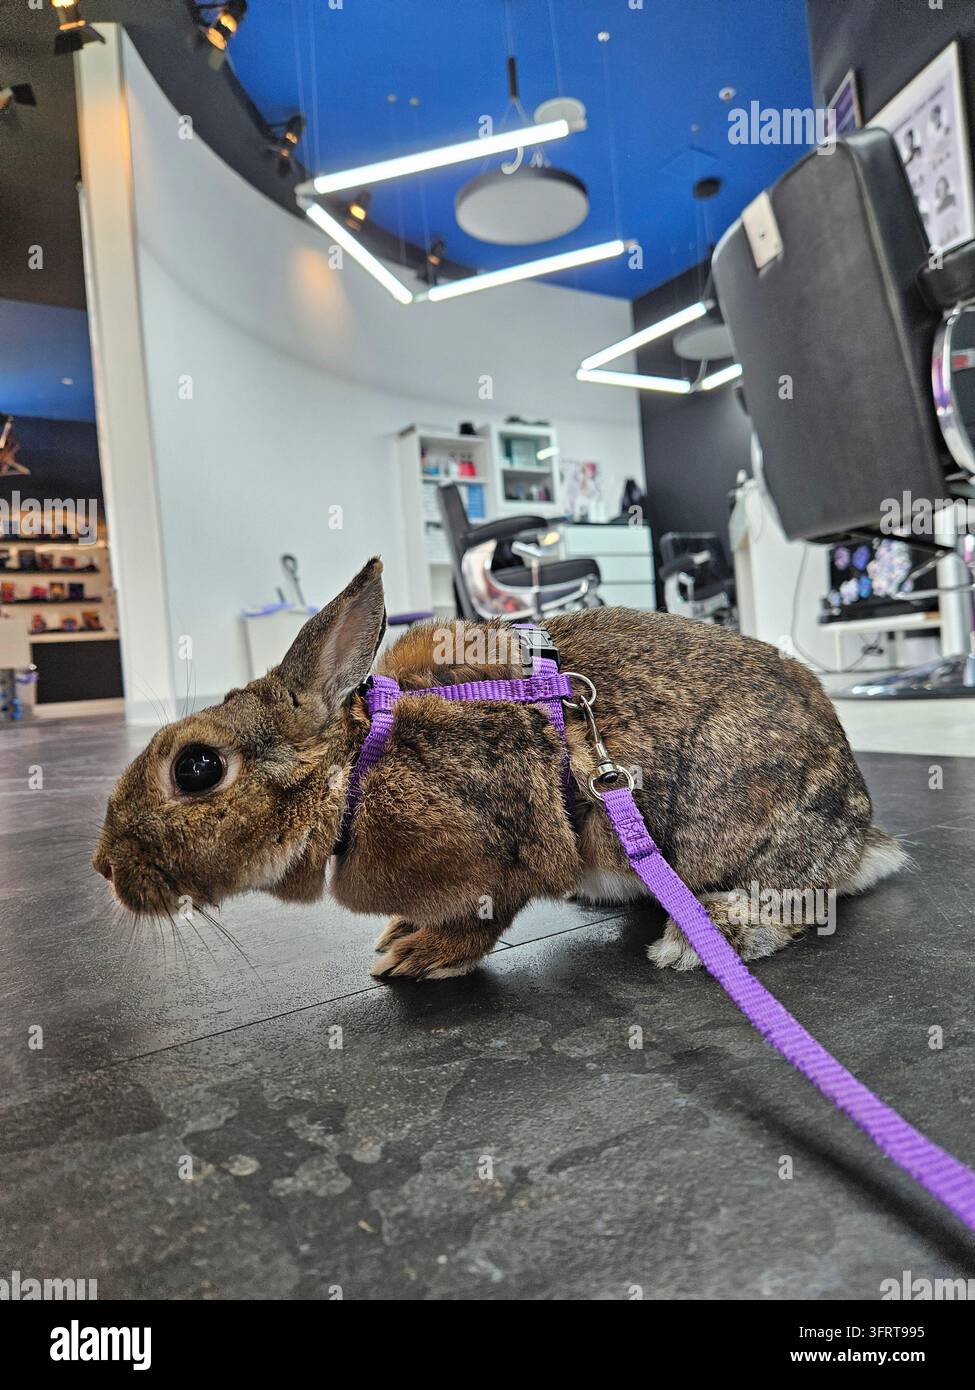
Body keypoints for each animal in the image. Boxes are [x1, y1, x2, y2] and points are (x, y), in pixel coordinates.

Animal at [94, 556, 906, 980]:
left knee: (797, 899)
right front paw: (402, 938)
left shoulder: (509, 856)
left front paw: (414, 956)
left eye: (197, 768)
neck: (354, 774)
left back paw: (703, 936)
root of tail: (862, 831)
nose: (103, 867)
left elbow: (485, 918)